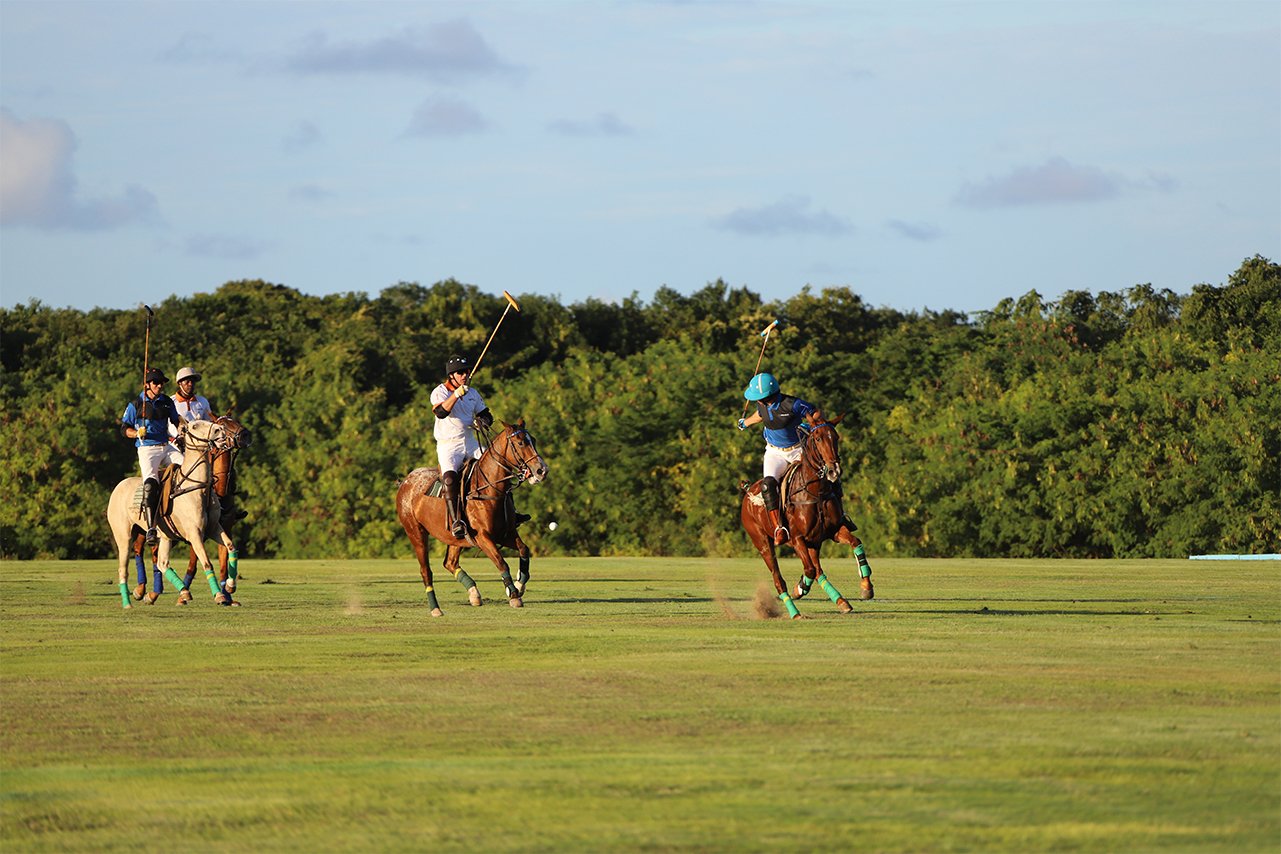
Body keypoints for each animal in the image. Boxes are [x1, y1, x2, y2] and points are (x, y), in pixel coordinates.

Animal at [107, 419, 240, 606]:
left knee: (162, 563)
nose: (220, 430)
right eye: (195, 426)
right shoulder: (194, 533)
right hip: (123, 535)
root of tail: (118, 486)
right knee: (124, 567)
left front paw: (229, 586)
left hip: (165, 537)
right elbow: (206, 562)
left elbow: (231, 548)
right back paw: (129, 602)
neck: (199, 488)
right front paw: (219, 595)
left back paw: (182, 592)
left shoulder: (214, 528)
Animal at [394, 419, 545, 614]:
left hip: (454, 537)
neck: (490, 489)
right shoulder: (483, 537)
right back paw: (435, 608)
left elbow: (524, 550)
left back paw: (474, 594)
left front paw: (519, 585)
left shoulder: (506, 533)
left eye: (533, 440)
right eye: (520, 442)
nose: (541, 470)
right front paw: (513, 595)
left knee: (449, 562)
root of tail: (405, 481)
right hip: (416, 533)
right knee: (426, 570)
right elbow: (501, 562)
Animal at [737, 409, 876, 617]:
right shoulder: (797, 539)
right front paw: (799, 589)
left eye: (836, 437)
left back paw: (840, 601)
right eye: (817, 438)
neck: (816, 492)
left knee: (818, 570)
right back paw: (794, 611)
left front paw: (866, 588)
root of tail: (748, 492)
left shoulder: (833, 530)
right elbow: (808, 570)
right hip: (763, 543)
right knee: (780, 579)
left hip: (814, 542)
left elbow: (856, 543)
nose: (834, 471)